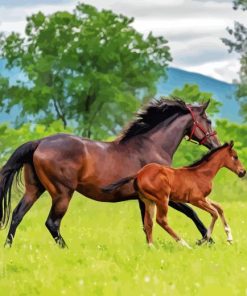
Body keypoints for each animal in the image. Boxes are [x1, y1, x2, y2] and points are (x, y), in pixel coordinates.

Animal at [0, 98, 220, 246]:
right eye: (208, 120)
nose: (216, 145)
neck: (153, 146)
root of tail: (40, 143)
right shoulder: (164, 195)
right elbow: (191, 212)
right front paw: (208, 240)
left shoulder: (143, 199)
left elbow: (146, 224)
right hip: (62, 193)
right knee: (52, 223)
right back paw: (67, 249)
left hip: (35, 189)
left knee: (18, 215)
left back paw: (8, 247)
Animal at [102, 142, 245, 249]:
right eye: (235, 157)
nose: (243, 172)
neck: (202, 173)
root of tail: (138, 173)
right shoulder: (196, 199)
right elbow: (214, 213)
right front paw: (202, 240)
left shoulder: (204, 198)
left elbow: (219, 207)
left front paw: (229, 238)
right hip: (162, 199)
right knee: (161, 220)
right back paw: (184, 244)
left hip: (148, 201)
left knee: (148, 223)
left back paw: (152, 247)